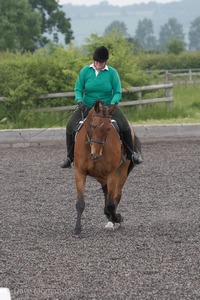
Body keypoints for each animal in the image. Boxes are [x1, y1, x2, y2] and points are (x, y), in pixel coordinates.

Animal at [73, 99, 141, 236]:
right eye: (93, 126)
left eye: (109, 128)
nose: (96, 154)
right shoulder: (79, 172)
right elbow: (80, 203)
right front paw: (77, 229)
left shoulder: (112, 174)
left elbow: (111, 204)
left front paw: (117, 217)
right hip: (100, 176)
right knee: (107, 193)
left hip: (121, 172)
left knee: (115, 197)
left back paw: (112, 220)